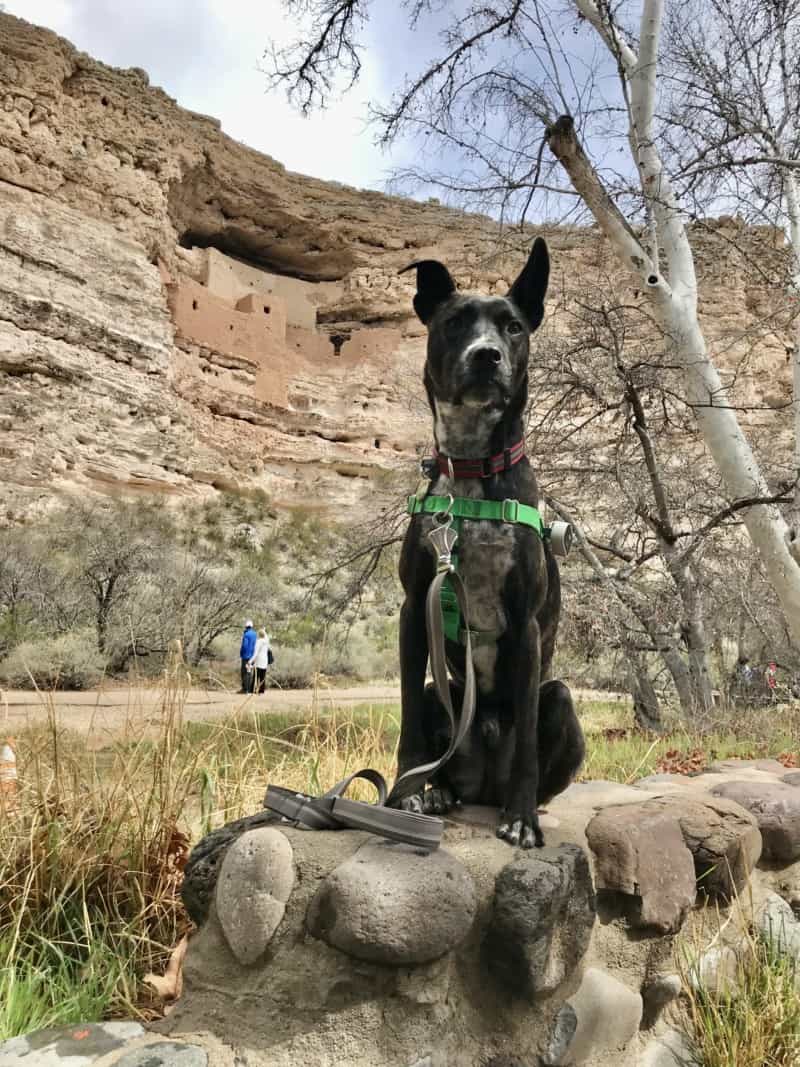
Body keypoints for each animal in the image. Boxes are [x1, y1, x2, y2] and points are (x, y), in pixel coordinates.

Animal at [392, 237, 584, 845]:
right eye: (454, 323)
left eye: (513, 327)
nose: (486, 356)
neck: (473, 469)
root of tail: (480, 788)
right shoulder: (414, 608)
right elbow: (407, 715)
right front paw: (402, 798)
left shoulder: (524, 624)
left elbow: (526, 748)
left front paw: (521, 821)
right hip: (445, 692)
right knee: (438, 727)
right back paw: (440, 790)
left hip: (560, 699)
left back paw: (519, 805)